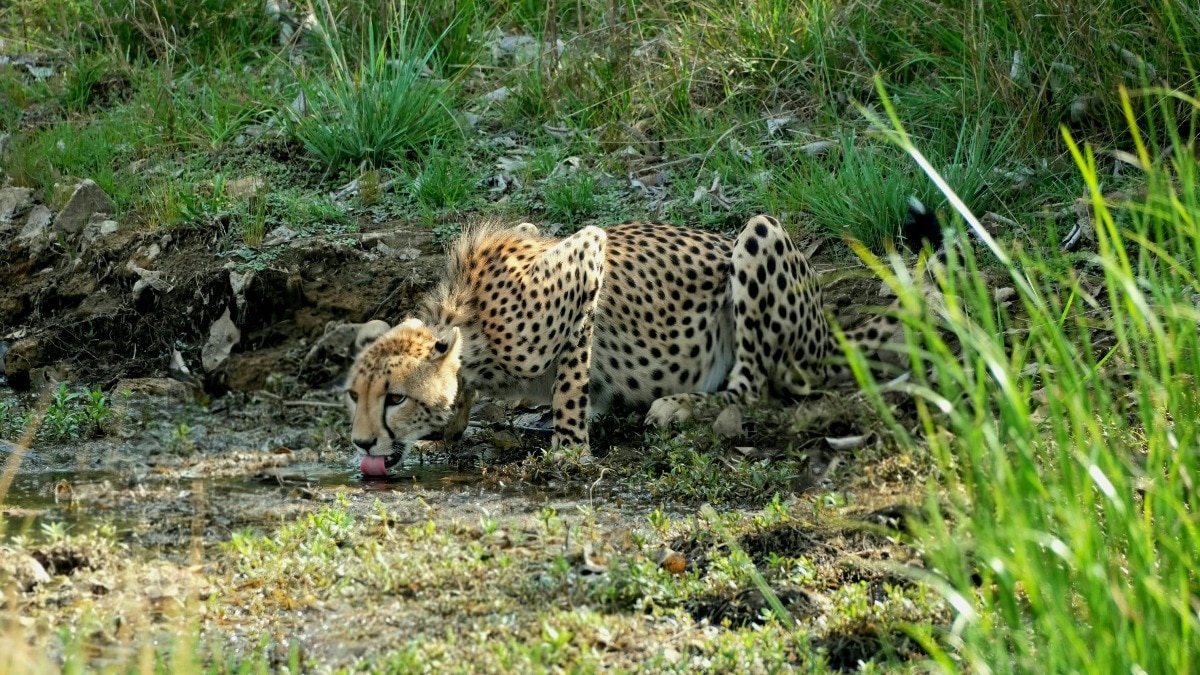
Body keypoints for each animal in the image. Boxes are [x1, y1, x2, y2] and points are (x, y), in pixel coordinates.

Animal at [345, 215, 900, 474]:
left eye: (395, 398)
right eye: (354, 396)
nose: (362, 443)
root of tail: (829, 329)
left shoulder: (586, 261)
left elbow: (570, 385)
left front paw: (568, 450)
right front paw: (449, 427)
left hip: (758, 236)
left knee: (757, 389)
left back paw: (681, 405)